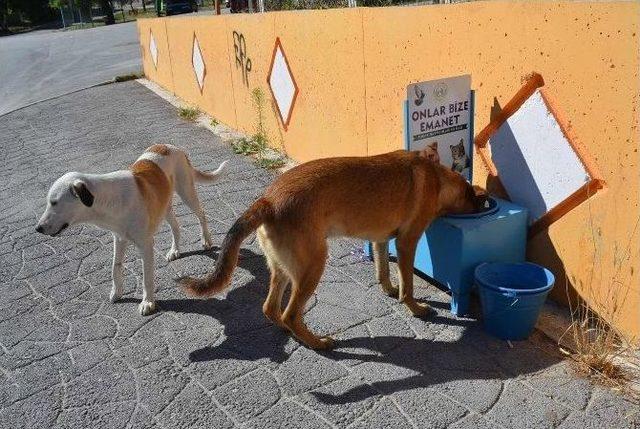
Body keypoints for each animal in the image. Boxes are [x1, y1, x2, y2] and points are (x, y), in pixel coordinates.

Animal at [37, 144, 228, 314]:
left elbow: (146, 277)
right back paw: (175, 250)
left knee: (201, 214)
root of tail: (171, 146)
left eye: (54, 202)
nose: (38, 228)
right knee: (176, 226)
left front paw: (148, 302)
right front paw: (117, 292)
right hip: (164, 206)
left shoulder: (146, 245)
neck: (109, 201)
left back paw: (206, 240)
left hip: (186, 192)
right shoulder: (119, 238)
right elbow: (115, 266)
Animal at [179, 149, 484, 350]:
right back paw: (317, 342)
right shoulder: (406, 242)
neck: (438, 178)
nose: (485, 205)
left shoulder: (380, 240)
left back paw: (291, 332)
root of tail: (268, 200)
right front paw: (414, 308)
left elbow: (383, 270)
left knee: (271, 308)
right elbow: (407, 285)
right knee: (291, 313)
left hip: (283, 270)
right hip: (313, 265)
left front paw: (388, 289)